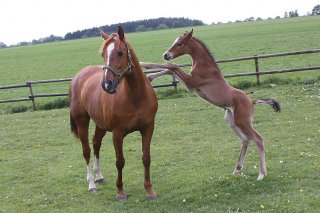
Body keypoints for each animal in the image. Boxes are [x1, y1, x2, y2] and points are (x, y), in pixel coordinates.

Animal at [68, 27, 158, 200]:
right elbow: (120, 161)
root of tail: (78, 76)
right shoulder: (117, 133)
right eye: (103, 54)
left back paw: (99, 176)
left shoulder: (148, 128)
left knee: (96, 143)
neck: (135, 96)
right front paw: (120, 191)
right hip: (82, 121)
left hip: (100, 125)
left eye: (120, 53)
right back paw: (92, 184)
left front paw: (150, 190)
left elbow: (146, 158)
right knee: (86, 151)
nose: (106, 84)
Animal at [142, 29, 280, 181]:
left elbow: (173, 66)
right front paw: (149, 76)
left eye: (180, 43)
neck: (204, 65)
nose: (166, 55)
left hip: (243, 121)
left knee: (258, 139)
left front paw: (143, 64)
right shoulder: (190, 83)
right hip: (231, 121)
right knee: (245, 140)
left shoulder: (191, 83)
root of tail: (251, 101)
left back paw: (261, 174)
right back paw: (236, 169)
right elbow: (170, 69)